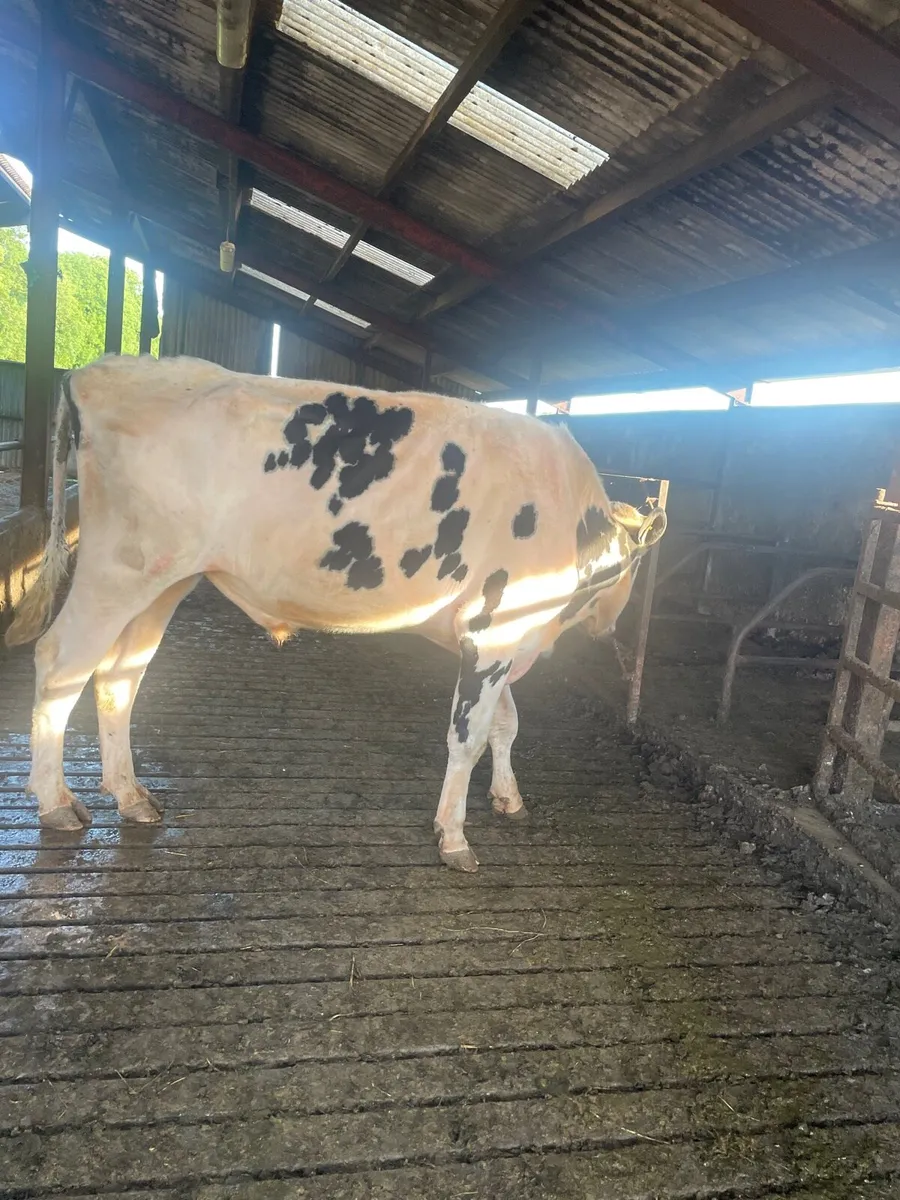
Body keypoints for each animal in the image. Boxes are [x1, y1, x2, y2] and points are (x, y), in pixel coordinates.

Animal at [5, 354, 666, 871]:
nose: (611, 624)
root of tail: (94, 371)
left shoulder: (504, 636)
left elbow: (506, 725)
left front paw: (509, 799)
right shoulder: (495, 627)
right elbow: (469, 738)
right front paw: (453, 836)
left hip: (167, 579)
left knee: (120, 676)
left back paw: (131, 795)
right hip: (117, 570)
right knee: (61, 663)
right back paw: (56, 801)